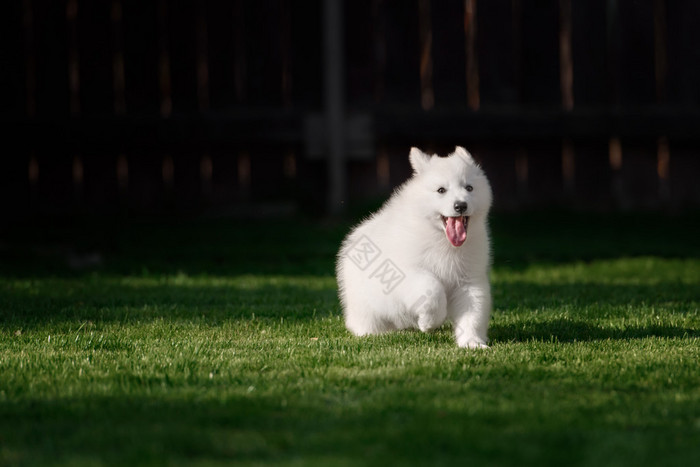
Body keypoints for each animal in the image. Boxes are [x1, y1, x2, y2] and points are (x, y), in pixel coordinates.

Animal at [334, 148, 492, 350]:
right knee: (364, 322)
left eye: (469, 188)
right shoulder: (408, 273)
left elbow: (473, 314)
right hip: (364, 305)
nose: (461, 205)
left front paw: (472, 342)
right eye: (441, 190)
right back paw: (372, 334)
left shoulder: (469, 281)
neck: (442, 240)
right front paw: (429, 323)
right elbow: (433, 290)